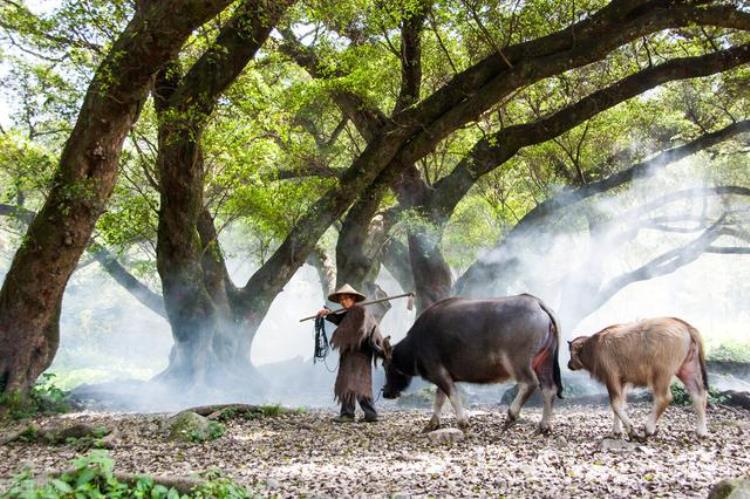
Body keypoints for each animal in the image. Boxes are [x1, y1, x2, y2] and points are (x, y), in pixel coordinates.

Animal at [384, 294, 560, 432]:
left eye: (386, 366)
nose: (386, 393)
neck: (416, 344)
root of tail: (537, 303)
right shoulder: (443, 376)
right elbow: (439, 399)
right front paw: (432, 424)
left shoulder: (438, 373)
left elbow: (452, 396)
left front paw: (463, 422)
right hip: (544, 362)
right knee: (549, 389)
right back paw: (544, 425)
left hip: (517, 362)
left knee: (529, 383)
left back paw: (511, 415)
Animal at [568, 320, 712, 438]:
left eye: (571, 353)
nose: (569, 364)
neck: (595, 347)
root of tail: (686, 326)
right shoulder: (622, 382)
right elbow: (619, 404)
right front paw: (617, 430)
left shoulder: (612, 377)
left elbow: (615, 404)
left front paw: (630, 430)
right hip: (688, 369)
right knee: (699, 395)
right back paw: (702, 431)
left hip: (661, 373)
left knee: (663, 398)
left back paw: (649, 428)